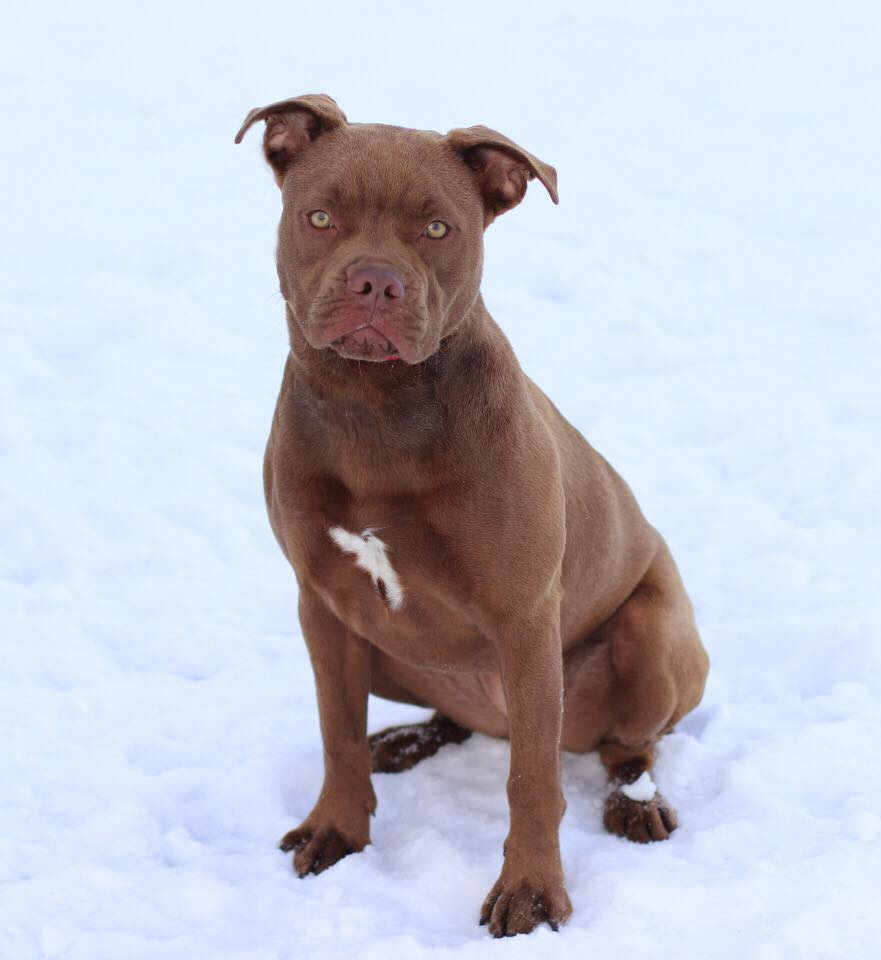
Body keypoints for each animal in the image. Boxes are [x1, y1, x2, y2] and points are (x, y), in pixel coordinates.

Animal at [234, 95, 708, 936]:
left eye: (436, 229)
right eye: (320, 216)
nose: (375, 282)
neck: (375, 410)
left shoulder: (523, 620)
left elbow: (531, 781)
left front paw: (531, 891)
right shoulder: (321, 603)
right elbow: (334, 729)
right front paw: (336, 829)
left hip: (650, 638)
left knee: (628, 745)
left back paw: (635, 805)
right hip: (386, 650)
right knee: (438, 715)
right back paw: (406, 739)